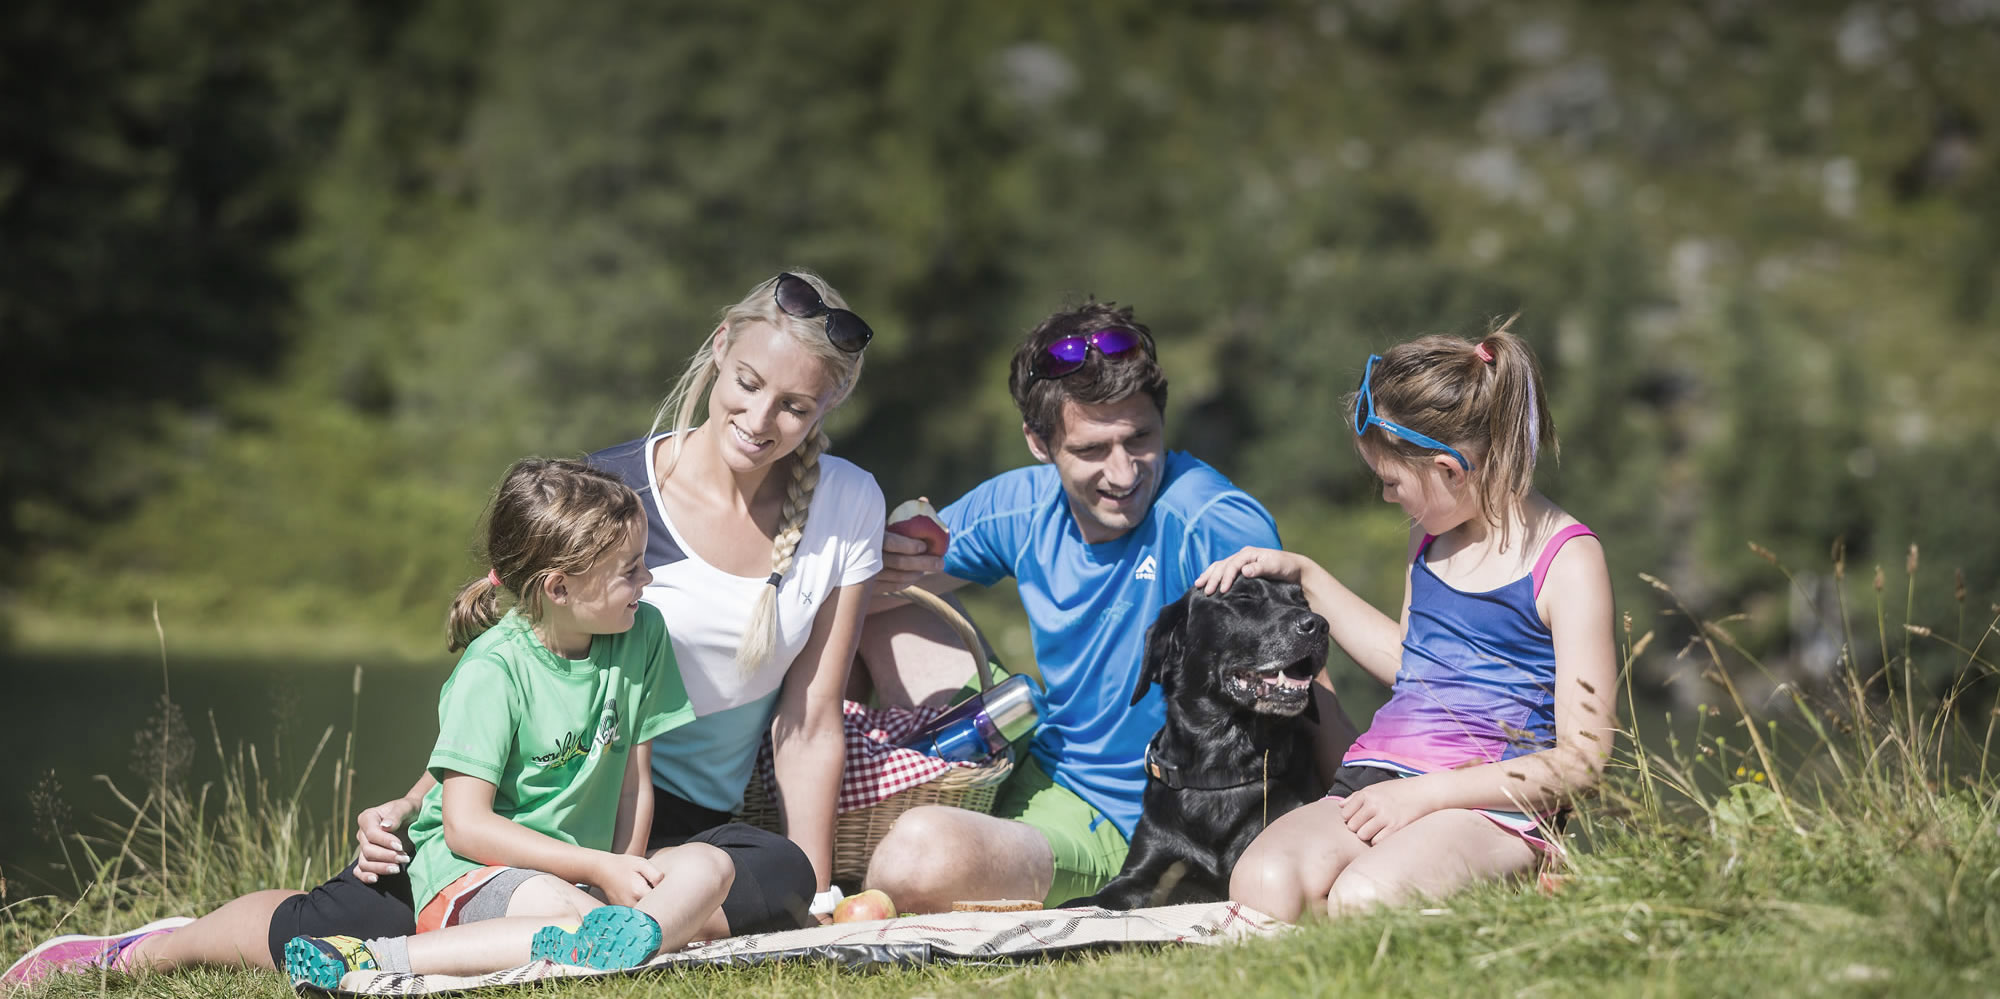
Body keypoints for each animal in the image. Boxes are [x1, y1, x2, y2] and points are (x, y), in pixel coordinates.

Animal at [1064, 575, 1328, 911]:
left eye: (1302, 601)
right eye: (1243, 597)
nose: (1319, 625)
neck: (1222, 770)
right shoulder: (1143, 868)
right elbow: (1087, 901)